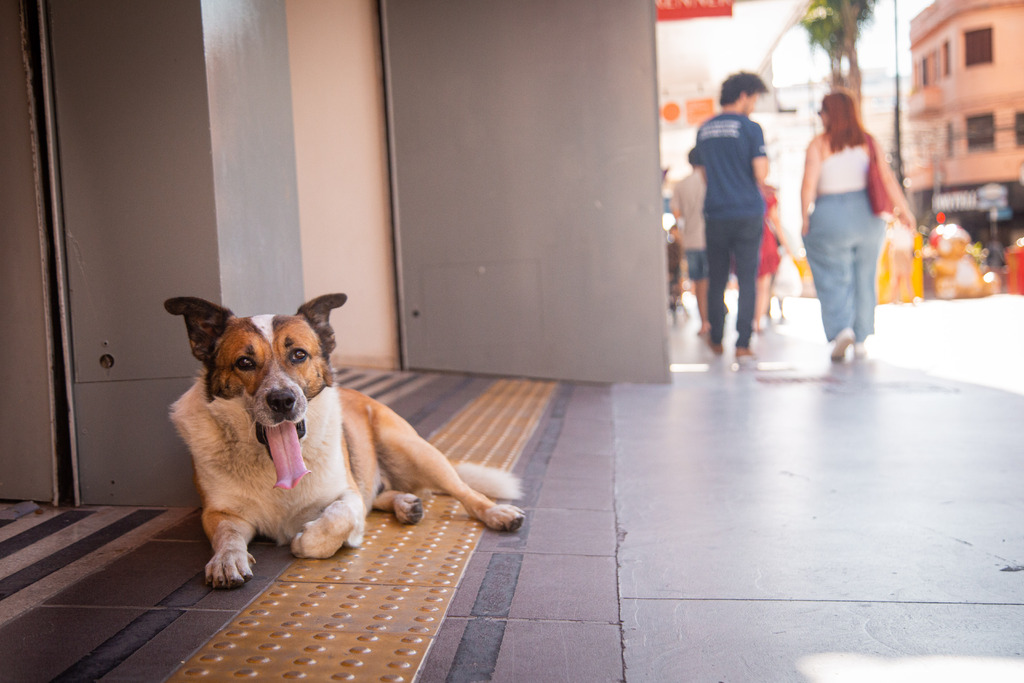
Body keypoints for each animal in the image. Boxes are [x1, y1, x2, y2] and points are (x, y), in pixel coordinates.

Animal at [165, 294, 528, 589]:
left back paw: (497, 512)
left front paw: (303, 539)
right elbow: (226, 536)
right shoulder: (218, 512)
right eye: (244, 362)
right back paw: (405, 504)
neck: (273, 466)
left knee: (464, 491)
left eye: (299, 355)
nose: (282, 400)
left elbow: (333, 524)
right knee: (381, 492)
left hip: (411, 449)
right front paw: (227, 560)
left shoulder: (346, 496)